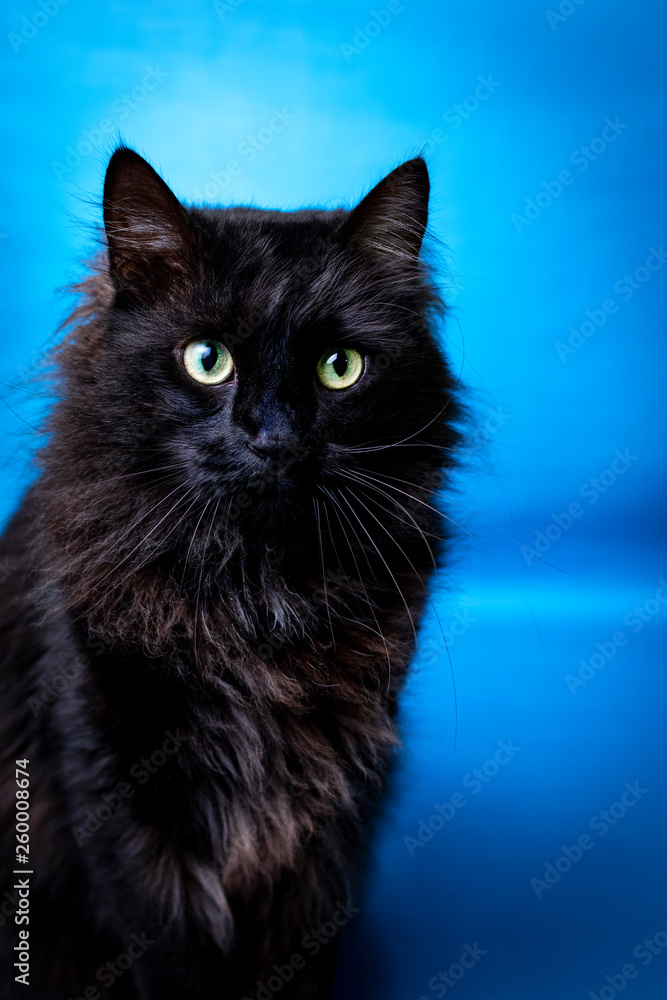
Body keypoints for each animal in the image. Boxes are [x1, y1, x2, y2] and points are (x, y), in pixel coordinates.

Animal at [0, 148, 462, 1000]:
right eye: (206, 360)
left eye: (339, 368)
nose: (272, 436)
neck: (252, 597)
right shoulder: (116, 781)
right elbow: (176, 960)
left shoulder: (330, 799)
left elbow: (297, 957)